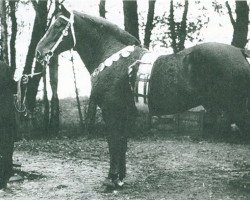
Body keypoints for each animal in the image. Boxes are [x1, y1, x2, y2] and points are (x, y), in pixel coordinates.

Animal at [34, 5, 250, 189]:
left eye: (58, 25)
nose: (39, 52)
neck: (112, 57)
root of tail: (240, 52)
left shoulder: (111, 111)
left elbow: (113, 142)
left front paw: (110, 180)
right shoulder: (125, 113)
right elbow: (122, 143)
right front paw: (120, 179)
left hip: (239, 110)